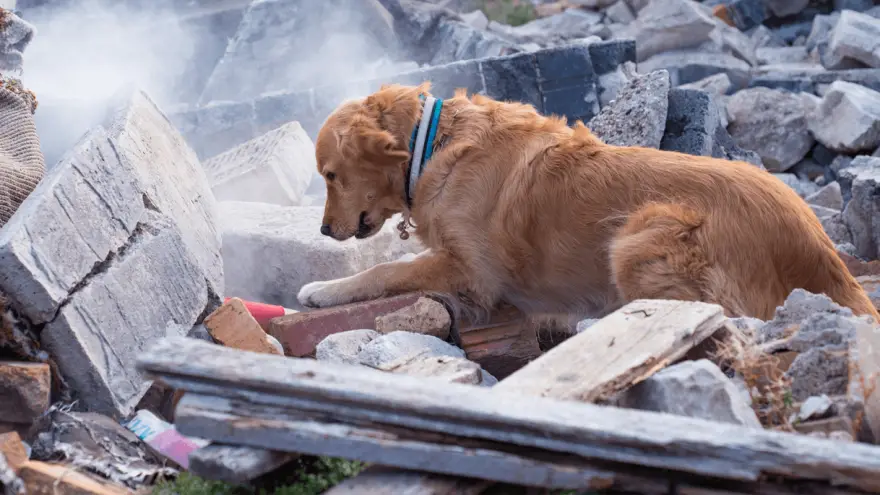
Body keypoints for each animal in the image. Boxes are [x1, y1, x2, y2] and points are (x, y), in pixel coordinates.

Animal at [298, 81, 880, 324]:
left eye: (330, 175)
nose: (324, 231)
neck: (430, 144)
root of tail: (821, 253)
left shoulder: (474, 273)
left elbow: (385, 272)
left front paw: (323, 289)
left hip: (639, 233)